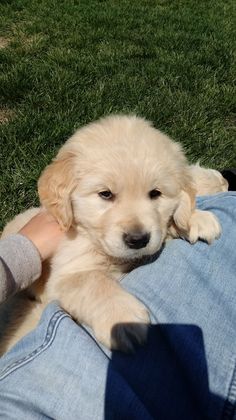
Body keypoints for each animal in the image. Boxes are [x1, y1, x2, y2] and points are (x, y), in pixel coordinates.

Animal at [0, 114, 222, 352]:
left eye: (155, 193)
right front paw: (123, 317)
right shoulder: (64, 273)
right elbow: (93, 281)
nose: (138, 240)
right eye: (105, 194)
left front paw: (194, 219)